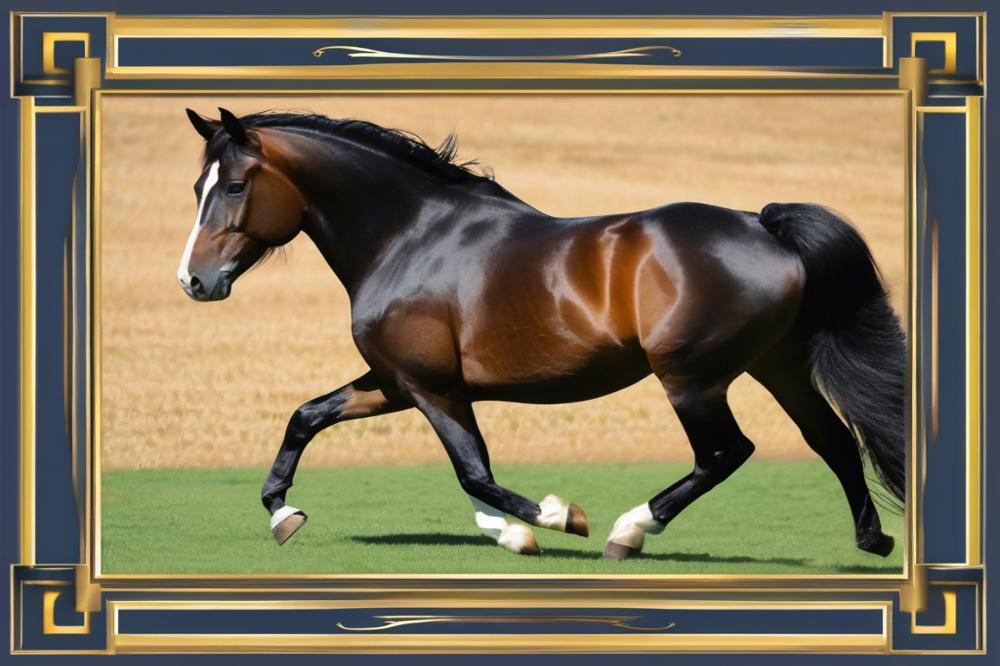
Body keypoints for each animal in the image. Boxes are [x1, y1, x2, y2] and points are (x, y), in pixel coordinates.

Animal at [178, 107, 906, 560]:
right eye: (196, 187)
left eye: (236, 186)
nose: (194, 281)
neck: (411, 236)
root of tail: (763, 224)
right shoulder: (396, 381)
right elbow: (306, 416)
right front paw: (282, 513)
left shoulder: (432, 388)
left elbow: (475, 474)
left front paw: (551, 522)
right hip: (776, 365)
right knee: (832, 440)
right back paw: (873, 541)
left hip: (692, 379)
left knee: (727, 453)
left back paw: (628, 530)